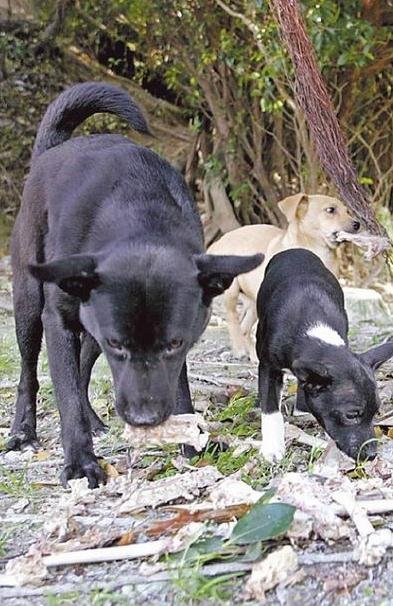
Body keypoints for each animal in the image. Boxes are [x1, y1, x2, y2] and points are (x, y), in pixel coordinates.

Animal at [9, 82, 262, 490]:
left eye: (174, 344)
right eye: (118, 344)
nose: (144, 419)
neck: (140, 218)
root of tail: (50, 151)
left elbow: (176, 384)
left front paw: (189, 441)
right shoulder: (60, 322)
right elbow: (65, 394)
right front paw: (80, 462)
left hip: (89, 330)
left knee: (82, 368)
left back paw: (95, 421)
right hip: (29, 305)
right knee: (29, 373)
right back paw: (22, 432)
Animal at [207, 196, 360, 360]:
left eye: (347, 210)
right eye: (330, 210)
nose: (357, 224)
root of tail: (217, 242)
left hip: (253, 302)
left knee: (245, 327)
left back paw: (253, 356)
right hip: (232, 290)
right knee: (232, 317)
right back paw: (239, 348)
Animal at [256, 249, 392, 464]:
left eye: (376, 413)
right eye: (351, 415)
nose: (371, 456)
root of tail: (295, 250)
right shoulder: (268, 366)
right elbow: (270, 409)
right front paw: (272, 449)